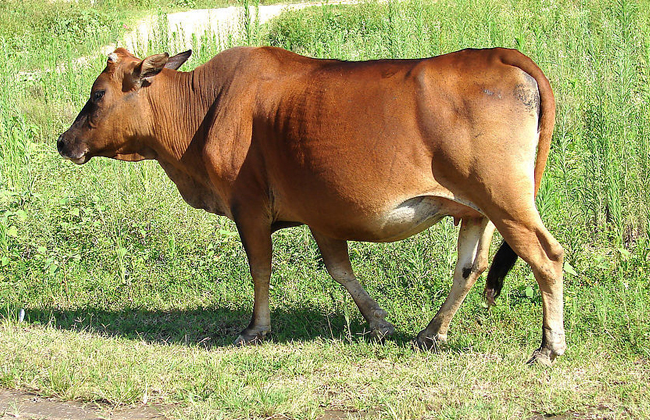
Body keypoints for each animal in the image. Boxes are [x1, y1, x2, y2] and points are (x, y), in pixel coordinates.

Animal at [57, 46, 560, 364]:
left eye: (98, 94)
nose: (64, 141)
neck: (203, 106)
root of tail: (500, 54)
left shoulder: (249, 207)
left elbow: (260, 268)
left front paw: (256, 329)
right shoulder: (323, 213)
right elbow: (340, 269)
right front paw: (379, 323)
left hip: (506, 200)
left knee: (547, 258)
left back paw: (548, 347)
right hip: (475, 209)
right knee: (469, 270)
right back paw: (431, 332)